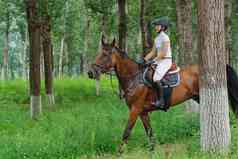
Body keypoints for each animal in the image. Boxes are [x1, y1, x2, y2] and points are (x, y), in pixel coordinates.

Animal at [87, 37, 238, 153]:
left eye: (105, 55)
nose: (90, 72)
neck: (135, 78)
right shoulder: (143, 112)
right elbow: (150, 132)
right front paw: (152, 151)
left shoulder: (135, 110)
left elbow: (126, 132)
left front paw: (119, 152)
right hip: (197, 97)